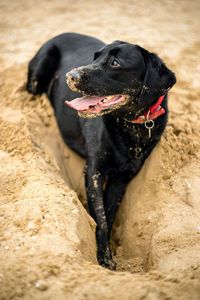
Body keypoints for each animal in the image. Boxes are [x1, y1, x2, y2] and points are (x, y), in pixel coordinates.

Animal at [26, 32, 175, 270]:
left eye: (115, 63)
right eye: (95, 57)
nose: (70, 75)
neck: (131, 126)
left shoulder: (121, 178)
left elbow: (109, 214)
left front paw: (106, 255)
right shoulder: (94, 171)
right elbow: (101, 219)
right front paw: (104, 258)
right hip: (39, 70)